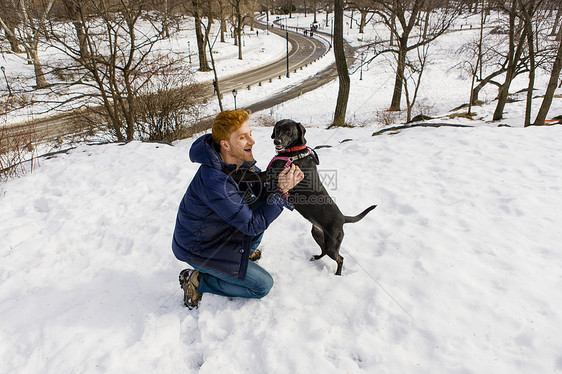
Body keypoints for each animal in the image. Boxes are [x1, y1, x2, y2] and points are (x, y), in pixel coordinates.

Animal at [229, 120, 376, 274]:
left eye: (289, 131)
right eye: (277, 129)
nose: (277, 141)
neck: (293, 152)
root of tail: (342, 218)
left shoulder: (270, 174)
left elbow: (250, 174)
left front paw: (233, 173)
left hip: (332, 243)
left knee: (340, 258)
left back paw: (337, 274)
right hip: (317, 233)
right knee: (324, 250)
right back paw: (316, 257)